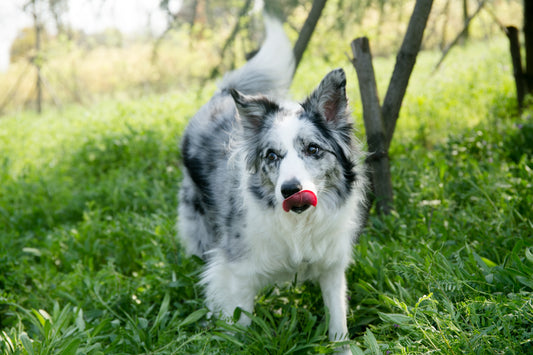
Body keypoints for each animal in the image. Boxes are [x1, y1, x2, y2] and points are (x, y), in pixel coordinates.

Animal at [177, 13, 368, 348]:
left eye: (313, 149)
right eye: (272, 156)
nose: (290, 190)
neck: (299, 225)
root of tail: (222, 94)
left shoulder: (332, 266)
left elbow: (338, 322)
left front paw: (341, 347)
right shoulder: (237, 271)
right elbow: (239, 323)